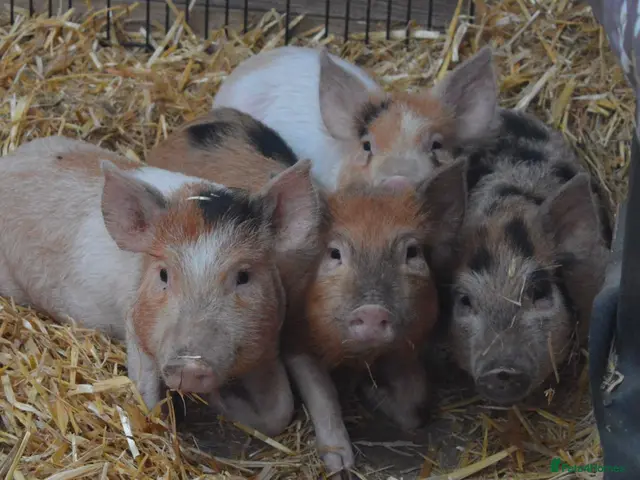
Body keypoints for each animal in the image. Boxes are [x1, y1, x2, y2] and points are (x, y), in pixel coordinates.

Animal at [0, 136, 321, 437]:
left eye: (244, 276)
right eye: (164, 274)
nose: (189, 365)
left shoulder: (269, 339)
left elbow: (281, 410)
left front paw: (222, 399)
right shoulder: (136, 325)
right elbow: (150, 401)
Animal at [146, 114, 469, 476]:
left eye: (412, 252)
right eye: (334, 254)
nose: (372, 311)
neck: (357, 356)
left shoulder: (408, 343)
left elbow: (416, 406)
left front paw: (370, 391)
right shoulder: (295, 337)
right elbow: (322, 395)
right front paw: (339, 465)